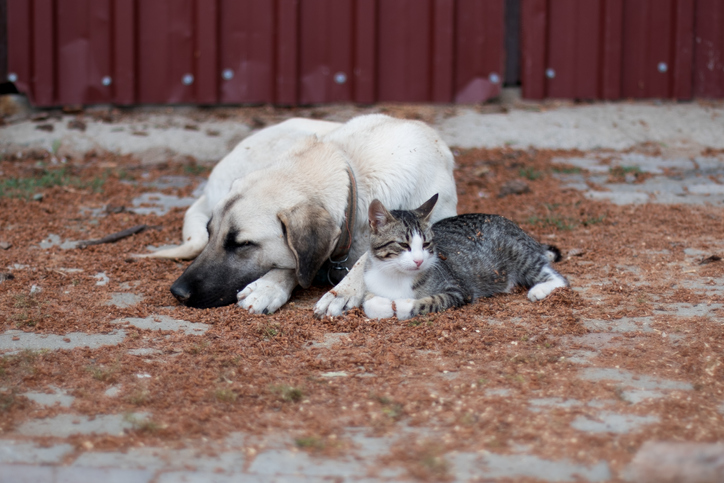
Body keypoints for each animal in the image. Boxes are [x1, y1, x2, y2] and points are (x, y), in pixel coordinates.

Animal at [147, 115, 458, 316]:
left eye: (243, 244)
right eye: (211, 233)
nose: (178, 292)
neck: (354, 173)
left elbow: (364, 260)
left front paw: (343, 291)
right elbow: (297, 263)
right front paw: (270, 286)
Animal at [364, 193, 568, 322]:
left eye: (426, 244)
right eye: (404, 245)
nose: (419, 260)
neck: (397, 276)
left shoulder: (459, 290)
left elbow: (431, 301)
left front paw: (403, 305)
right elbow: (368, 303)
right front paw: (383, 305)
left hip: (519, 253)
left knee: (560, 278)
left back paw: (539, 289)